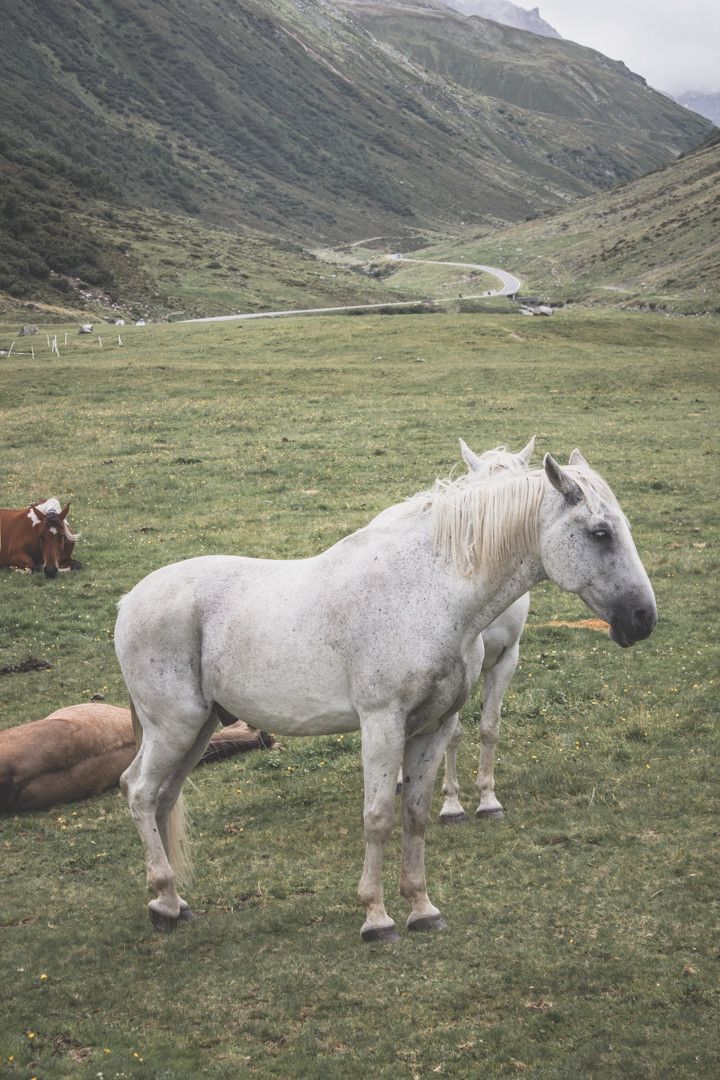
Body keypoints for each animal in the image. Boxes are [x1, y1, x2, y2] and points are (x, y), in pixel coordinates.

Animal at [115, 451, 656, 941]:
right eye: (601, 533)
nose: (643, 618)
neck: (428, 592)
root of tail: (128, 602)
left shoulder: (433, 727)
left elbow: (415, 815)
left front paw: (421, 908)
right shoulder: (382, 724)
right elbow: (377, 818)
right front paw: (376, 918)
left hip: (198, 731)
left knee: (162, 797)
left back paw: (171, 903)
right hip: (176, 727)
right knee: (139, 790)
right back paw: (165, 900)